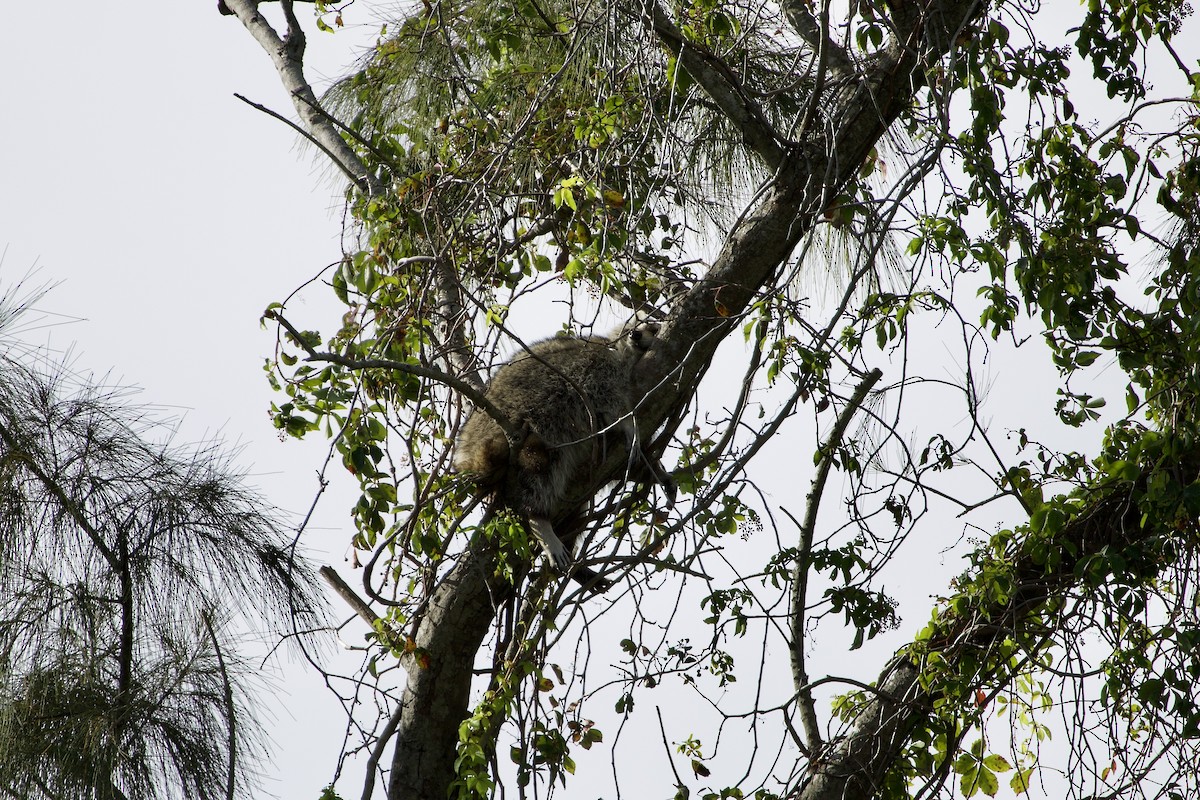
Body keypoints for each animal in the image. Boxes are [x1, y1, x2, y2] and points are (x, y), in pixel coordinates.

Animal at [452, 322, 676, 571]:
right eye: (636, 325)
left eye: (653, 328)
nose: (635, 334)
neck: (622, 354)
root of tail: (467, 453)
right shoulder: (597, 364)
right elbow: (604, 396)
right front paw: (627, 422)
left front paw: (655, 471)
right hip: (526, 421)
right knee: (541, 467)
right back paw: (537, 517)